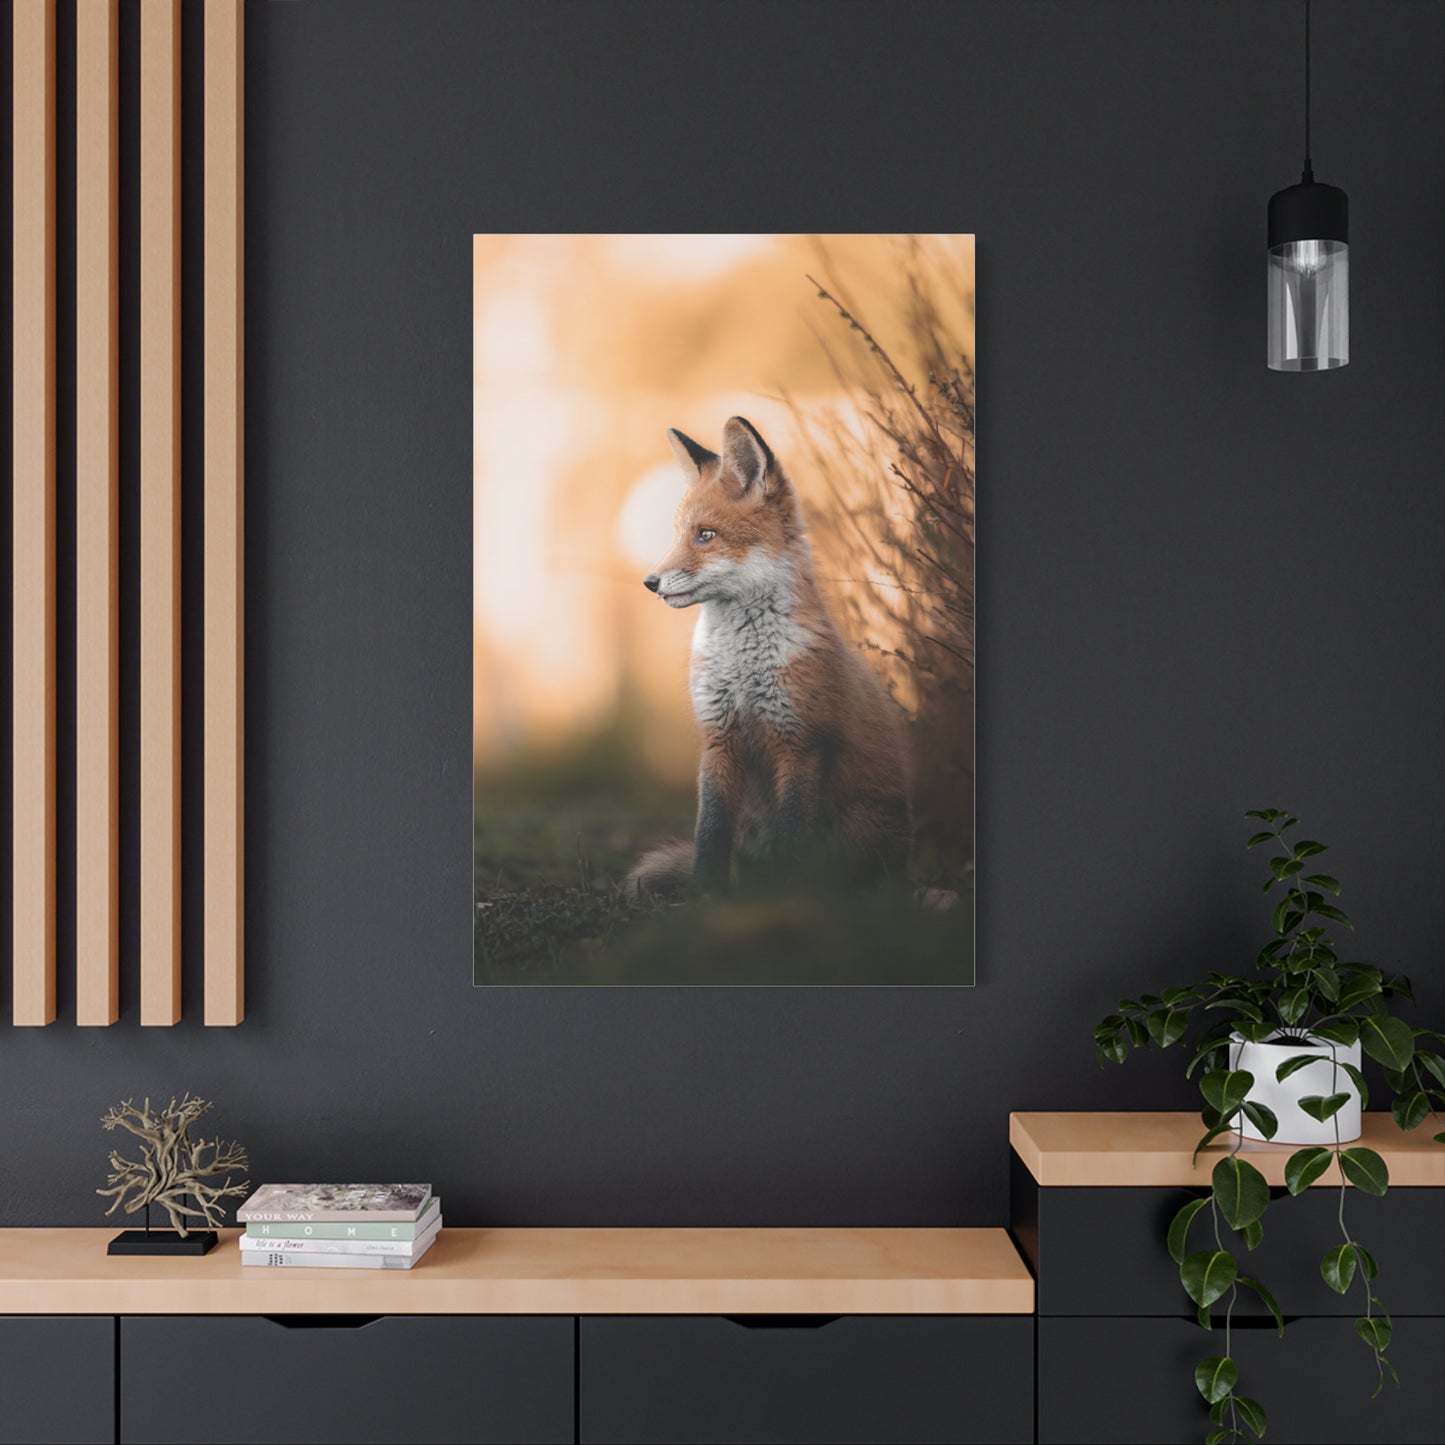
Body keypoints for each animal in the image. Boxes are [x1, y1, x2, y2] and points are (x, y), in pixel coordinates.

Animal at [627, 415, 911, 898]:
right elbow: (709, 832)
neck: (742, 665)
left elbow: (791, 834)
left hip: (859, 825)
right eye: (679, 534)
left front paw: (784, 895)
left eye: (706, 535)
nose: (650, 582)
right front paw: (705, 894)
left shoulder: (799, 740)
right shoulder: (718, 738)